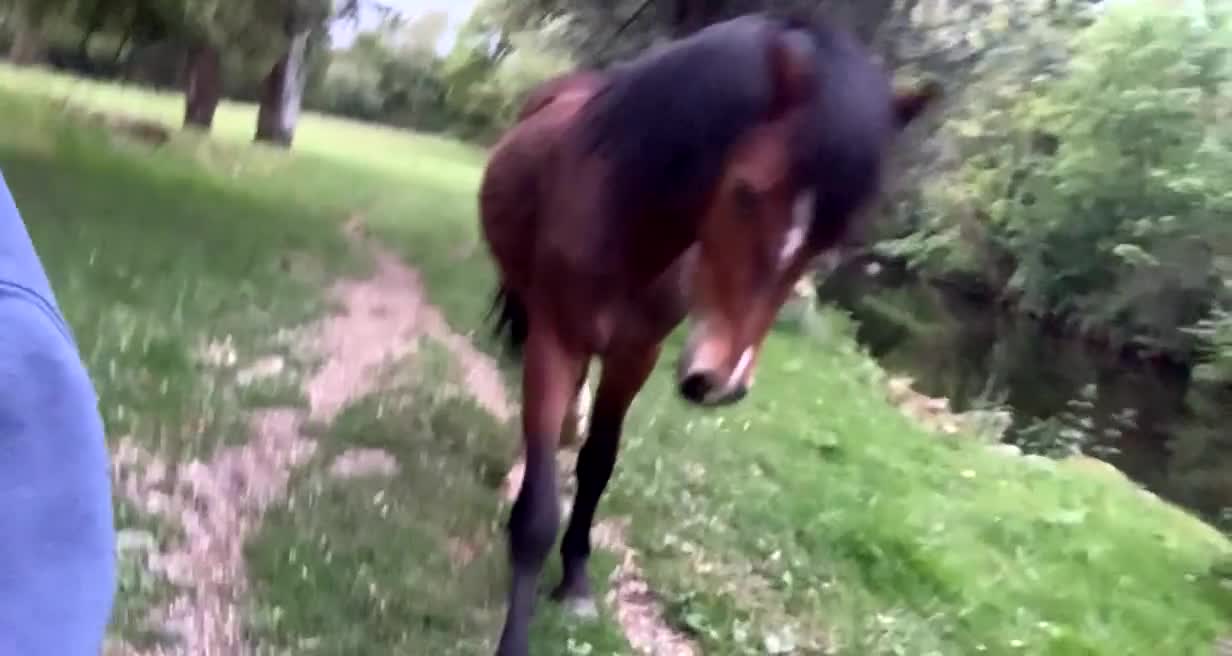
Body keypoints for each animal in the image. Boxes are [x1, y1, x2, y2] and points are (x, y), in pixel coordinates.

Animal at [478, 14, 938, 656]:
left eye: (836, 233)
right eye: (745, 192)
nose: (722, 381)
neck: (627, 221)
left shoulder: (635, 355)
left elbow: (598, 464)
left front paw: (575, 581)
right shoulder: (557, 340)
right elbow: (539, 511)